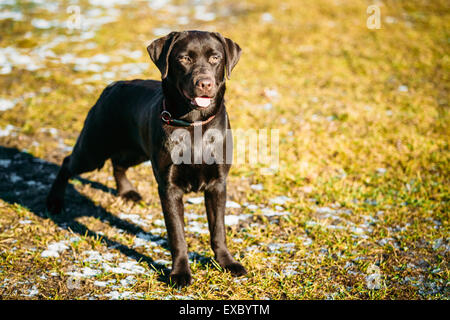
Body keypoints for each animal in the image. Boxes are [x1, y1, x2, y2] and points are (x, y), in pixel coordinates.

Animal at [46, 31, 246, 288]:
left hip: (136, 151)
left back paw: (127, 192)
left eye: (215, 58)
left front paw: (227, 263)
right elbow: (177, 235)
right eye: (184, 58)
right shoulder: (169, 188)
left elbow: (218, 230)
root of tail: (113, 85)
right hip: (93, 149)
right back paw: (54, 201)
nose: (205, 83)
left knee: (118, 163)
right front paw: (179, 273)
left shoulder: (217, 184)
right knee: (67, 162)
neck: (194, 125)